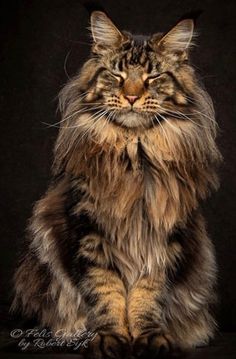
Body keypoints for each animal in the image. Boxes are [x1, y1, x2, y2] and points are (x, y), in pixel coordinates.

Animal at [12, 11, 222, 359]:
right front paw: (109, 339)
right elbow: (105, 293)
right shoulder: (89, 231)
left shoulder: (161, 238)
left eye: (153, 78)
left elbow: (147, 297)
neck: (134, 154)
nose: (132, 96)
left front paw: (149, 338)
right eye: (117, 75)